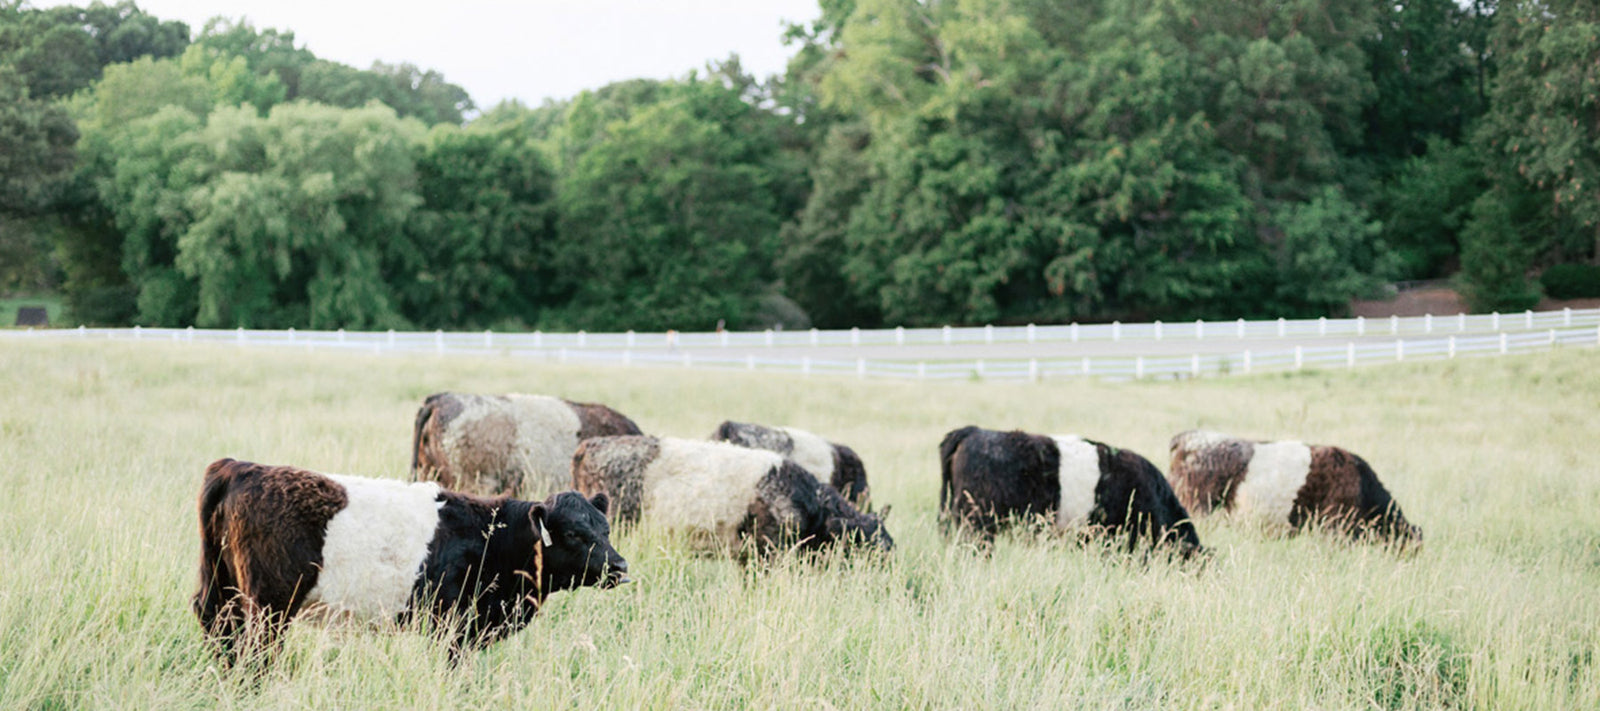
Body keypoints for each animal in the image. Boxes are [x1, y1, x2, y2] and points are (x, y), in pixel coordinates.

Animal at [193, 458, 628, 663]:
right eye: (573, 533)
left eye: (606, 529)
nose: (621, 568)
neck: (493, 538)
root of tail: (241, 467)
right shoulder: (457, 631)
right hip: (267, 606)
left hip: (223, 591)